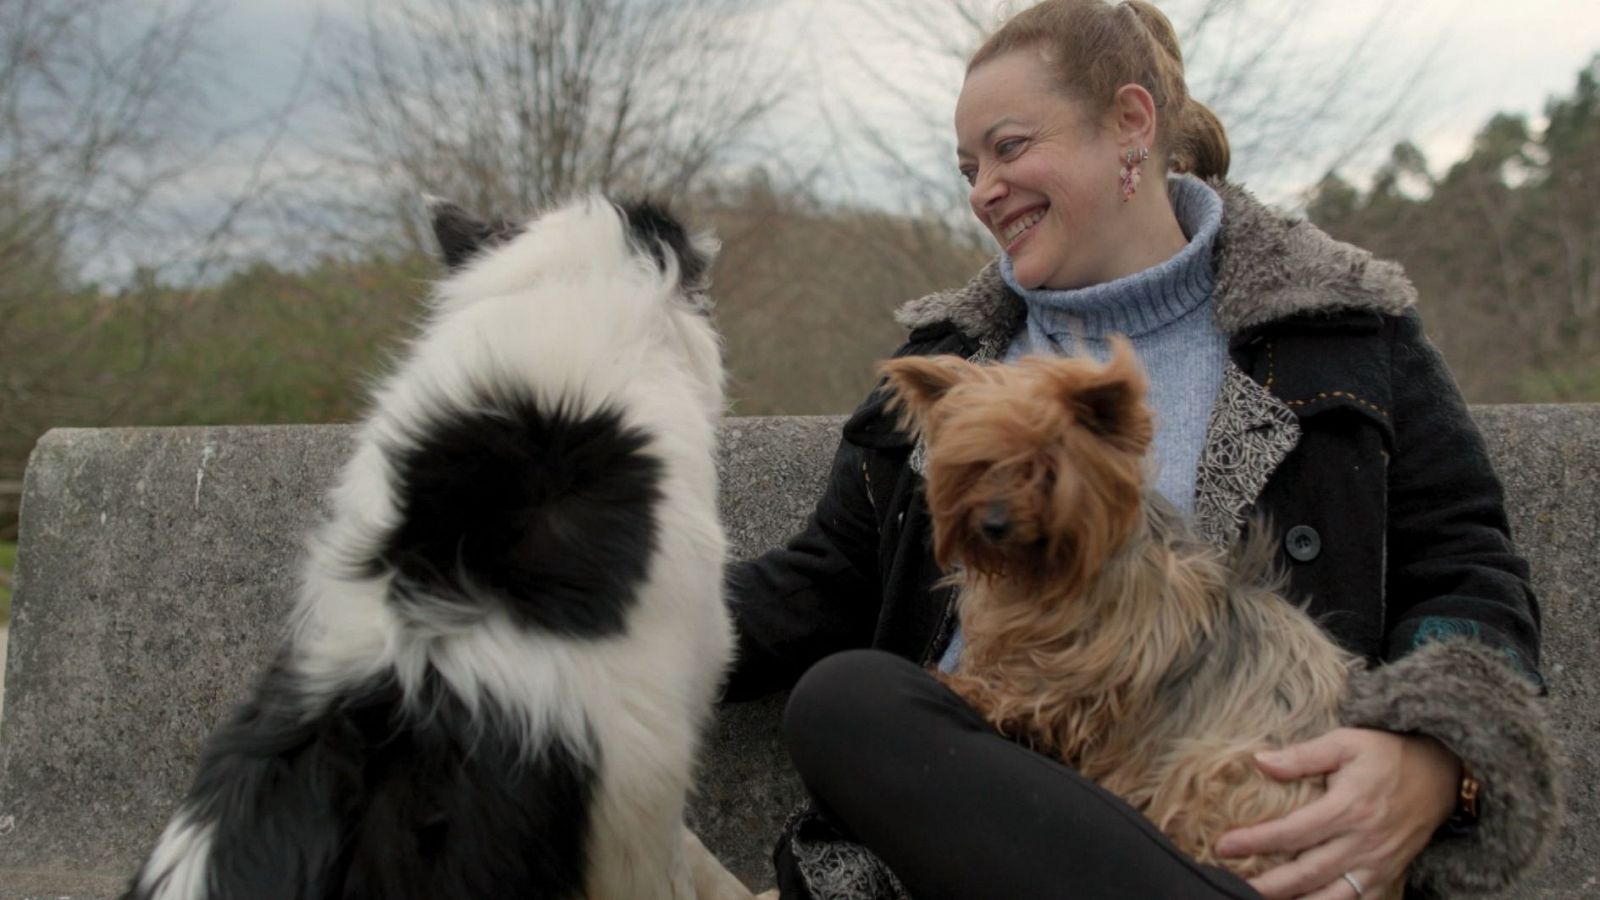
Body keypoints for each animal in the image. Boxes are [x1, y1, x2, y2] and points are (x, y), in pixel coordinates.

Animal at [876, 341, 1388, 883]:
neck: (1044, 573)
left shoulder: (1108, 655)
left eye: (1047, 467)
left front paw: (974, 690)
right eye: (980, 462)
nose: (993, 524)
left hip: (1221, 772)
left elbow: (1044, 687)